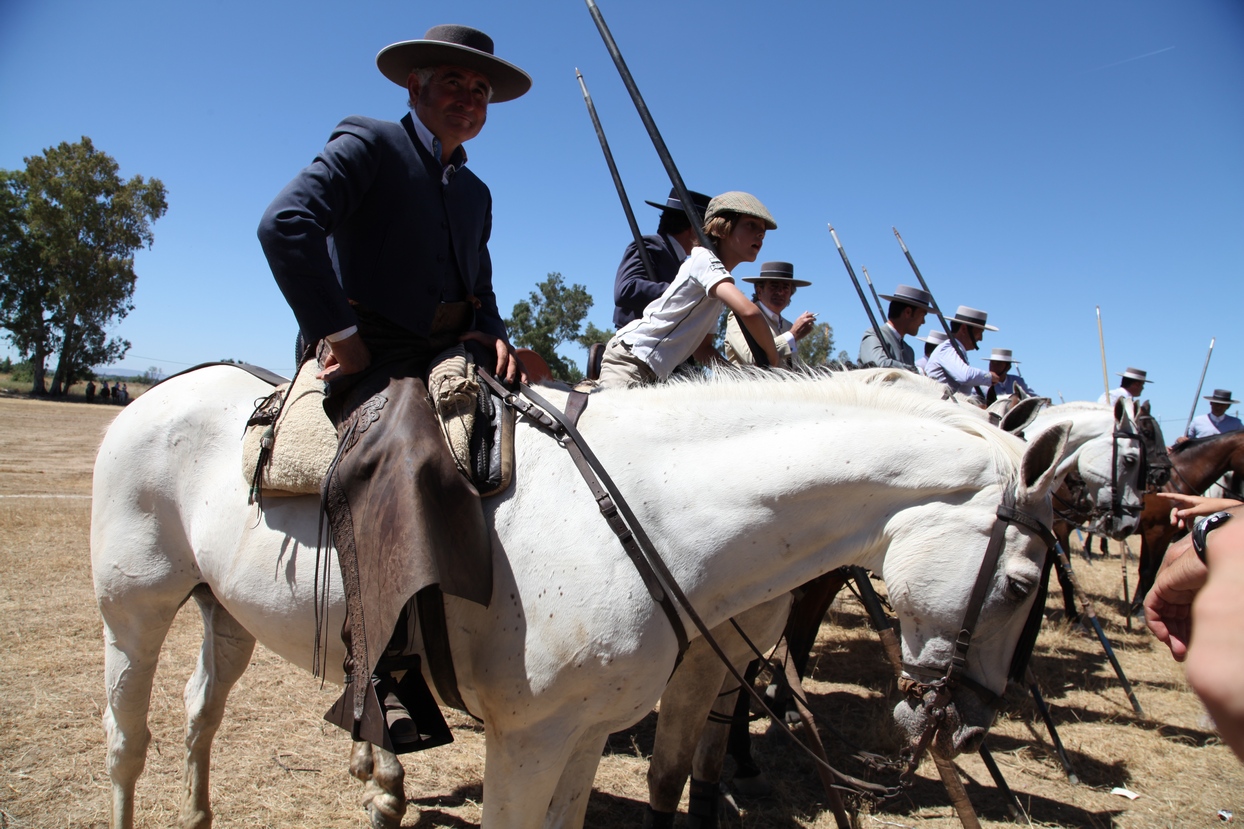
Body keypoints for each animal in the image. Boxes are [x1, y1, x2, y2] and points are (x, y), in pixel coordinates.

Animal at [92, 365, 1074, 821]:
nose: (968, 725)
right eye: (1023, 581)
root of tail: (161, 392)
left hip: (223, 611)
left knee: (198, 714)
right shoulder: (528, 740)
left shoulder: (586, 733)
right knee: (128, 739)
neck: (649, 508)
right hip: (133, 610)